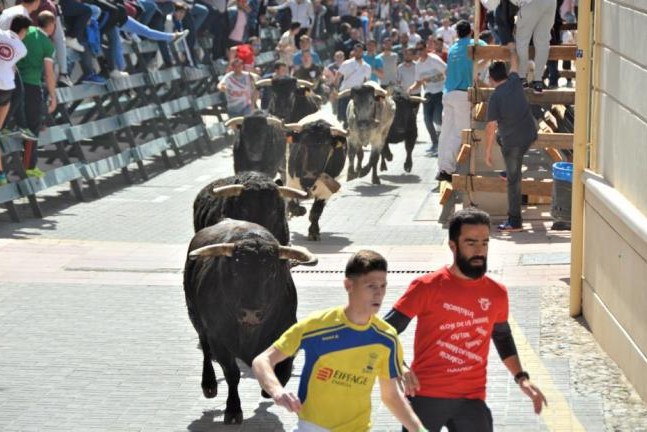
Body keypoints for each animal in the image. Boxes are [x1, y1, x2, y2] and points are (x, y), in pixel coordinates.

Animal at [184, 218, 317, 424]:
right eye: (236, 272)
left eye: (271, 271)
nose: (251, 313)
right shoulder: (218, 340)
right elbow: (232, 374)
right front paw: (233, 410)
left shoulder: (285, 331)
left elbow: (284, 369)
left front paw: (269, 390)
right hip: (196, 317)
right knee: (205, 349)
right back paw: (209, 385)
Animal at [283, 112, 348, 241]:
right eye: (302, 143)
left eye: (327, 145)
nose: (309, 175)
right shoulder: (291, 184)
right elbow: (293, 205)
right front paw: (299, 210)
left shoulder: (325, 191)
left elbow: (316, 212)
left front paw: (313, 232)